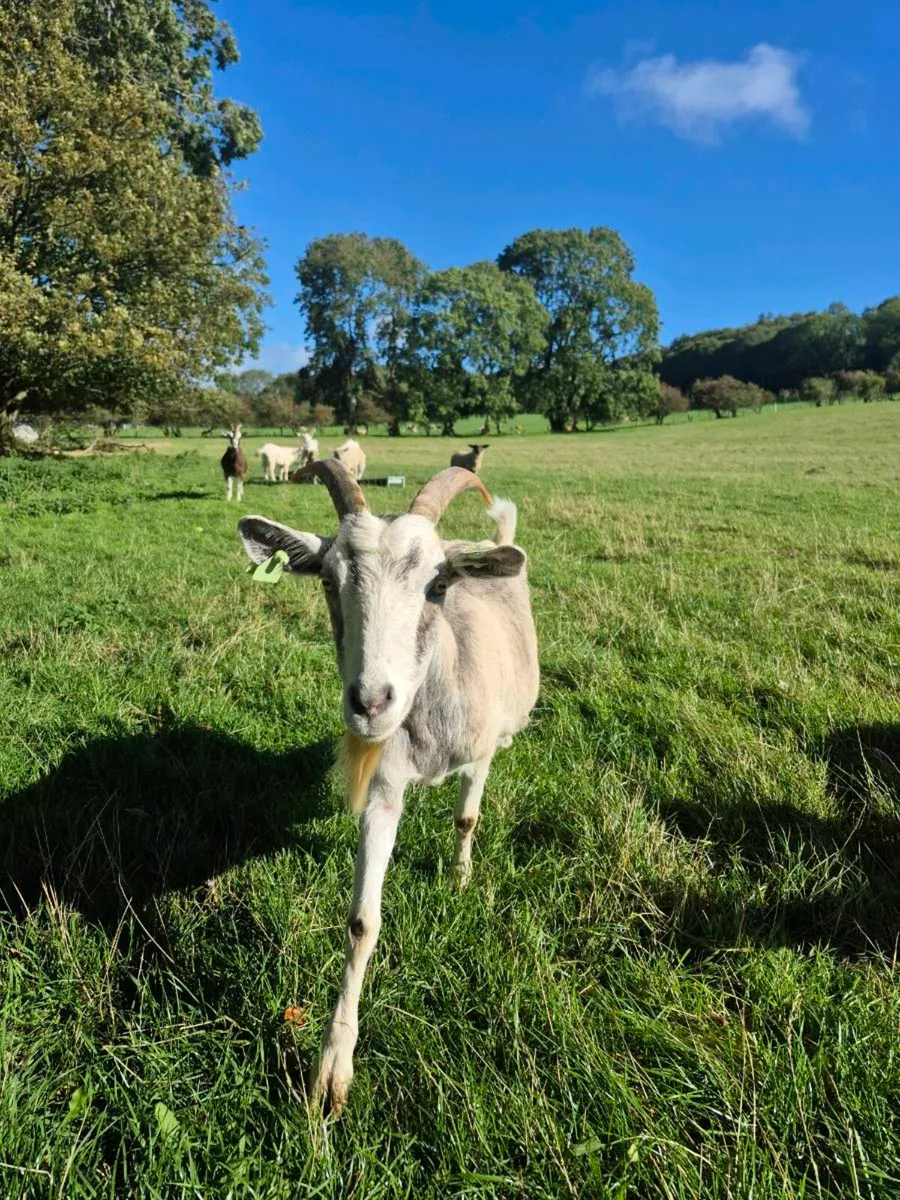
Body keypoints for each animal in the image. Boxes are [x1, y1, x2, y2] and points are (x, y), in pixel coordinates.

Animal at [238, 462, 539, 1113]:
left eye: (437, 584)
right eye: (328, 579)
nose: (372, 702)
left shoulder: (476, 758)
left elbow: (466, 818)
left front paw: (459, 879)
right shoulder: (383, 789)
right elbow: (361, 922)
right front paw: (331, 1072)